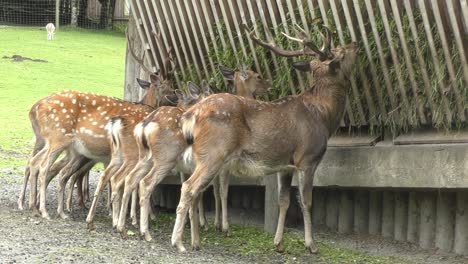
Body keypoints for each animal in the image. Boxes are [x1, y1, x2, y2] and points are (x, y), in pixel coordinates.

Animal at [172, 25, 358, 254]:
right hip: (214, 153)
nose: (355, 43)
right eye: (341, 54)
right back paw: (179, 242)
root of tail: (190, 114)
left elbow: (284, 200)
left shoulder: (285, 165)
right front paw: (311, 245)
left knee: (195, 191)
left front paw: (278, 243)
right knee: (189, 188)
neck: (324, 116)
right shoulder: (308, 158)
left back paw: (195, 241)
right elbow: (306, 202)